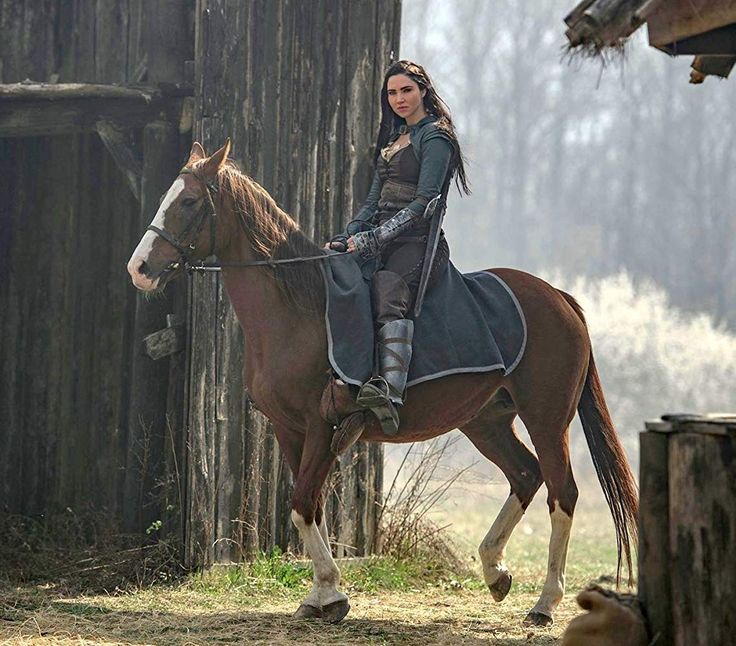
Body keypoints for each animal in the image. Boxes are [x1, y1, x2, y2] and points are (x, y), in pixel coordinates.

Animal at [126, 142, 640, 628]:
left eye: (189, 201)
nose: (140, 268)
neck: (300, 308)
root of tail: (559, 298)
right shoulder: (289, 429)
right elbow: (309, 507)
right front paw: (321, 594)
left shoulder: (322, 426)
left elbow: (301, 503)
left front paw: (330, 592)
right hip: (486, 422)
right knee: (526, 475)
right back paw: (495, 572)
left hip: (547, 419)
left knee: (562, 491)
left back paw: (545, 602)